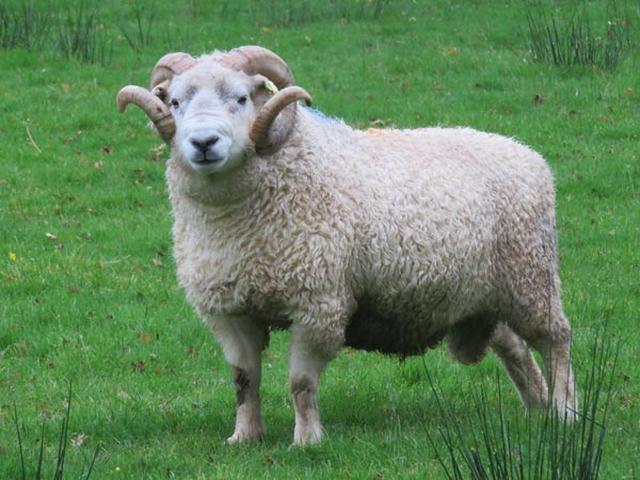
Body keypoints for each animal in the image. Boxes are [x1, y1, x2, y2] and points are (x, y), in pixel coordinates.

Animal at [116, 46, 577, 445]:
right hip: (484, 296)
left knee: (556, 340)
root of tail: (528, 154)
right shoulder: (228, 311)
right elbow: (244, 381)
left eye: (242, 97)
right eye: (175, 102)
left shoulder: (318, 304)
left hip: (531, 279)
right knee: (515, 346)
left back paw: (563, 413)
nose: (203, 143)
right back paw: (536, 406)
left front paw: (307, 441)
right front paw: (245, 437)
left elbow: (301, 383)